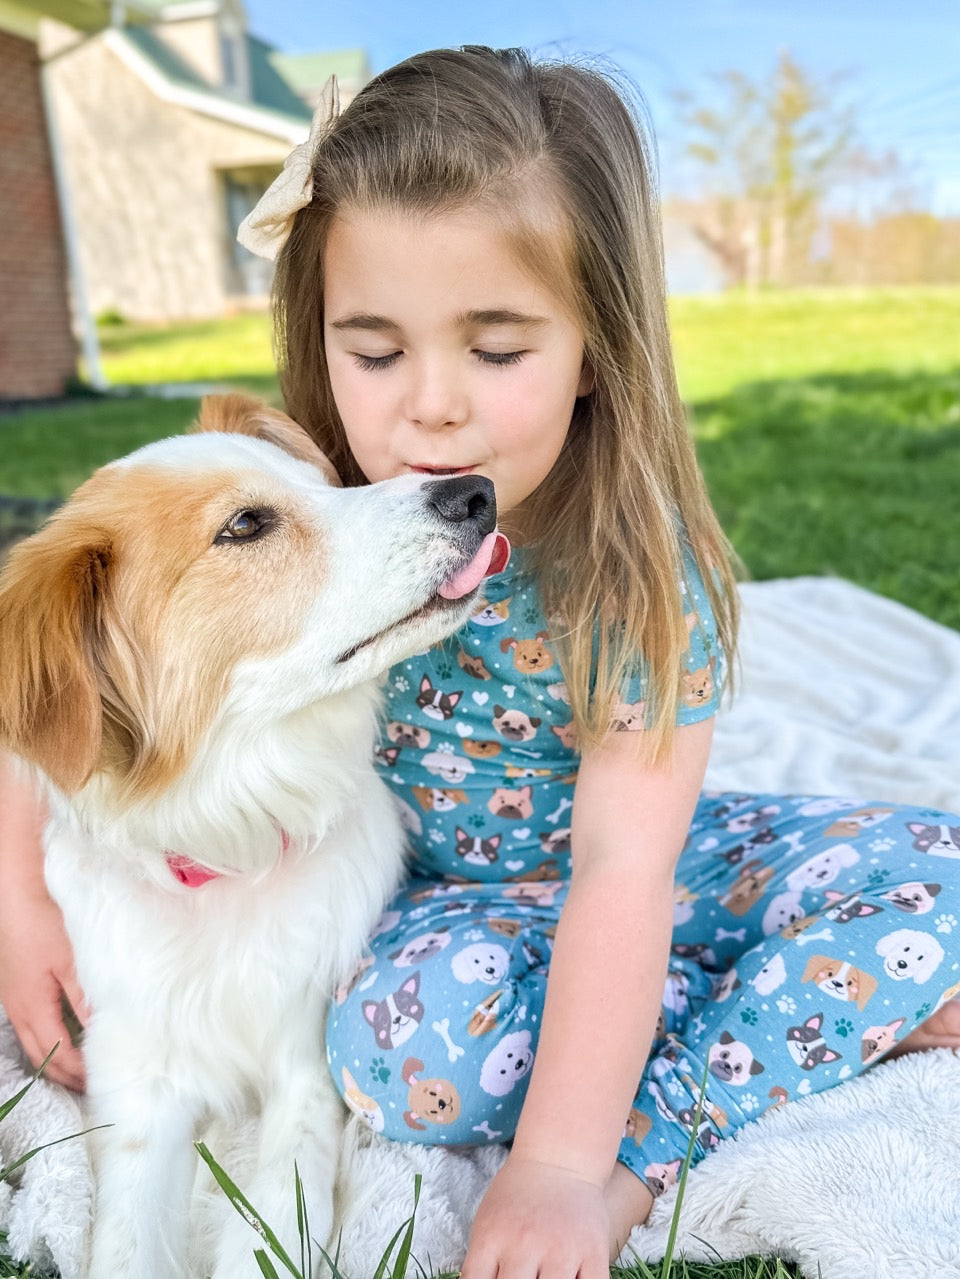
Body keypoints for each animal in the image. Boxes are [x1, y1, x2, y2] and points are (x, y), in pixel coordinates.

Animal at [0, 396, 511, 1279]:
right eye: (246, 524)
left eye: (324, 482)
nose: (474, 490)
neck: (231, 841)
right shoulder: (136, 1082)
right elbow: (127, 1238)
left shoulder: (303, 1065)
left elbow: (275, 1216)